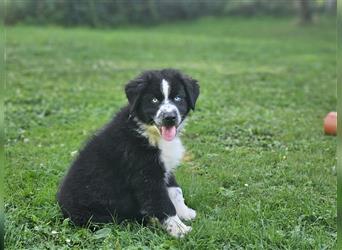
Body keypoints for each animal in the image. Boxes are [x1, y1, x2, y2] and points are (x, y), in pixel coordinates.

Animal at [57, 69, 199, 237]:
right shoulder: (146, 175)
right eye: (154, 100)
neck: (148, 131)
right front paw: (178, 228)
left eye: (178, 98)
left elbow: (176, 190)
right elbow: (162, 202)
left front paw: (185, 212)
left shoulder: (164, 166)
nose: (169, 117)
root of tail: (62, 208)